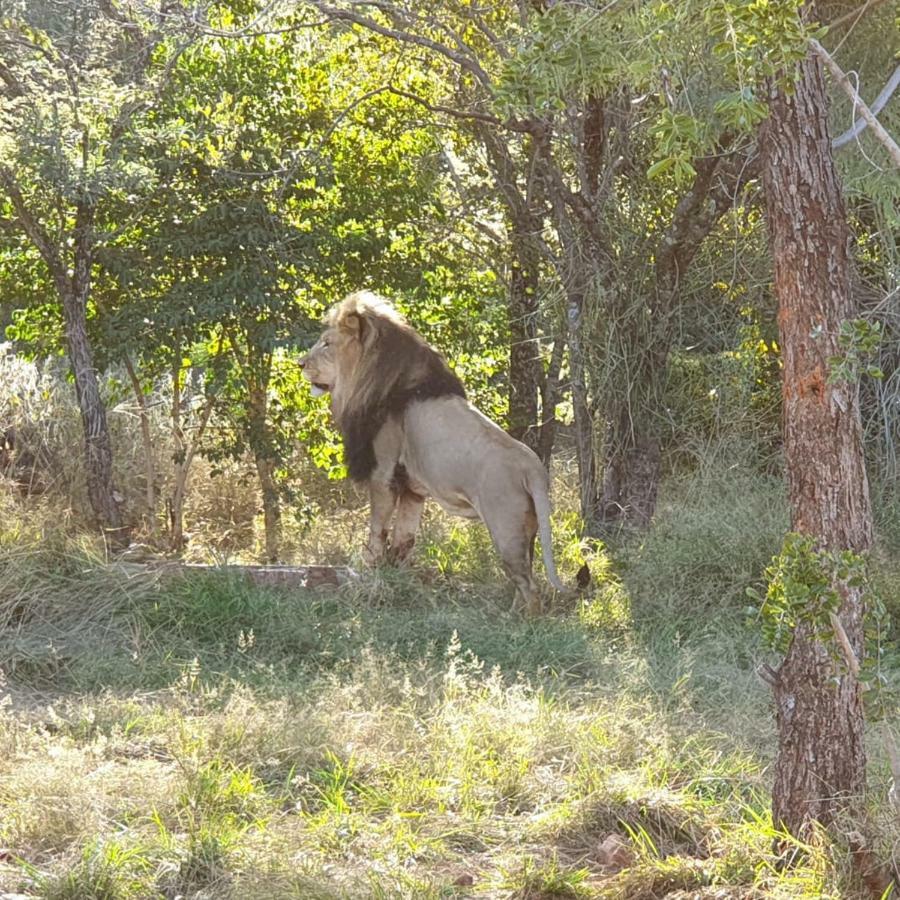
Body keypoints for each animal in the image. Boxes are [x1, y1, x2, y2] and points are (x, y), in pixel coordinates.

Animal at [302, 292, 568, 616]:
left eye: (326, 344)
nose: (299, 363)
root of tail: (534, 467)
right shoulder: (413, 489)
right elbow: (404, 539)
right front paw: (398, 580)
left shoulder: (383, 472)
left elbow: (376, 532)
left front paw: (368, 575)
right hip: (525, 530)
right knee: (525, 580)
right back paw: (511, 614)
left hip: (505, 529)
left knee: (531, 588)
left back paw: (521, 622)